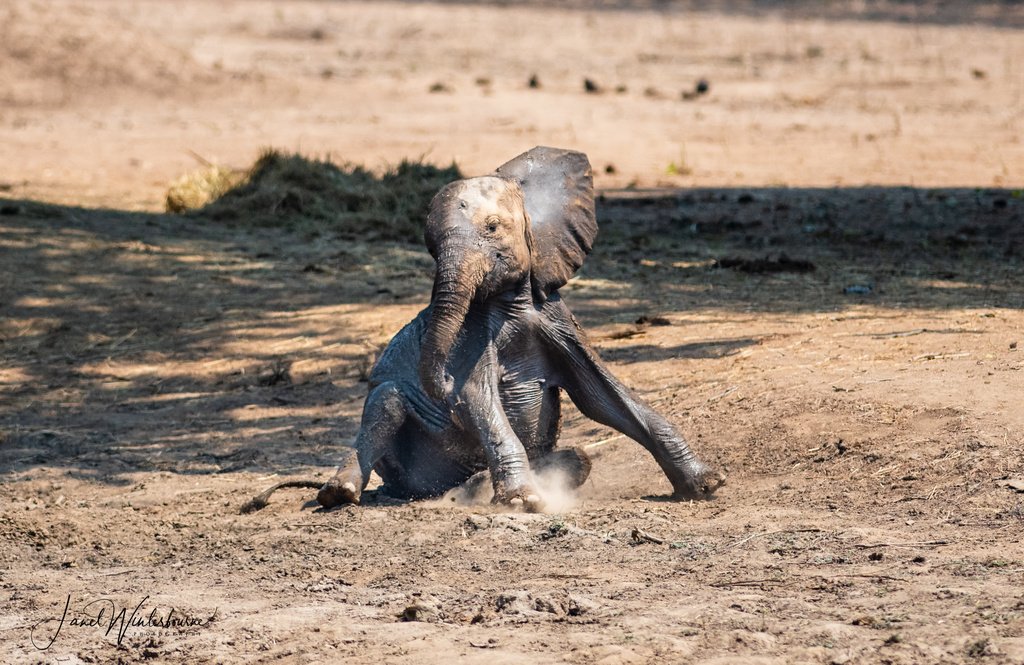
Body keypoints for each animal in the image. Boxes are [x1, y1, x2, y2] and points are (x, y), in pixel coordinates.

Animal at [301, 145, 720, 510]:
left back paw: (480, 485)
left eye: (492, 227)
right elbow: (476, 396)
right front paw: (523, 502)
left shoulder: (557, 319)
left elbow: (603, 396)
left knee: (581, 458)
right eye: (431, 246)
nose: (439, 389)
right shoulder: (470, 334)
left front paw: (706, 484)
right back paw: (343, 494)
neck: (511, 302)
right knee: (385, 401)